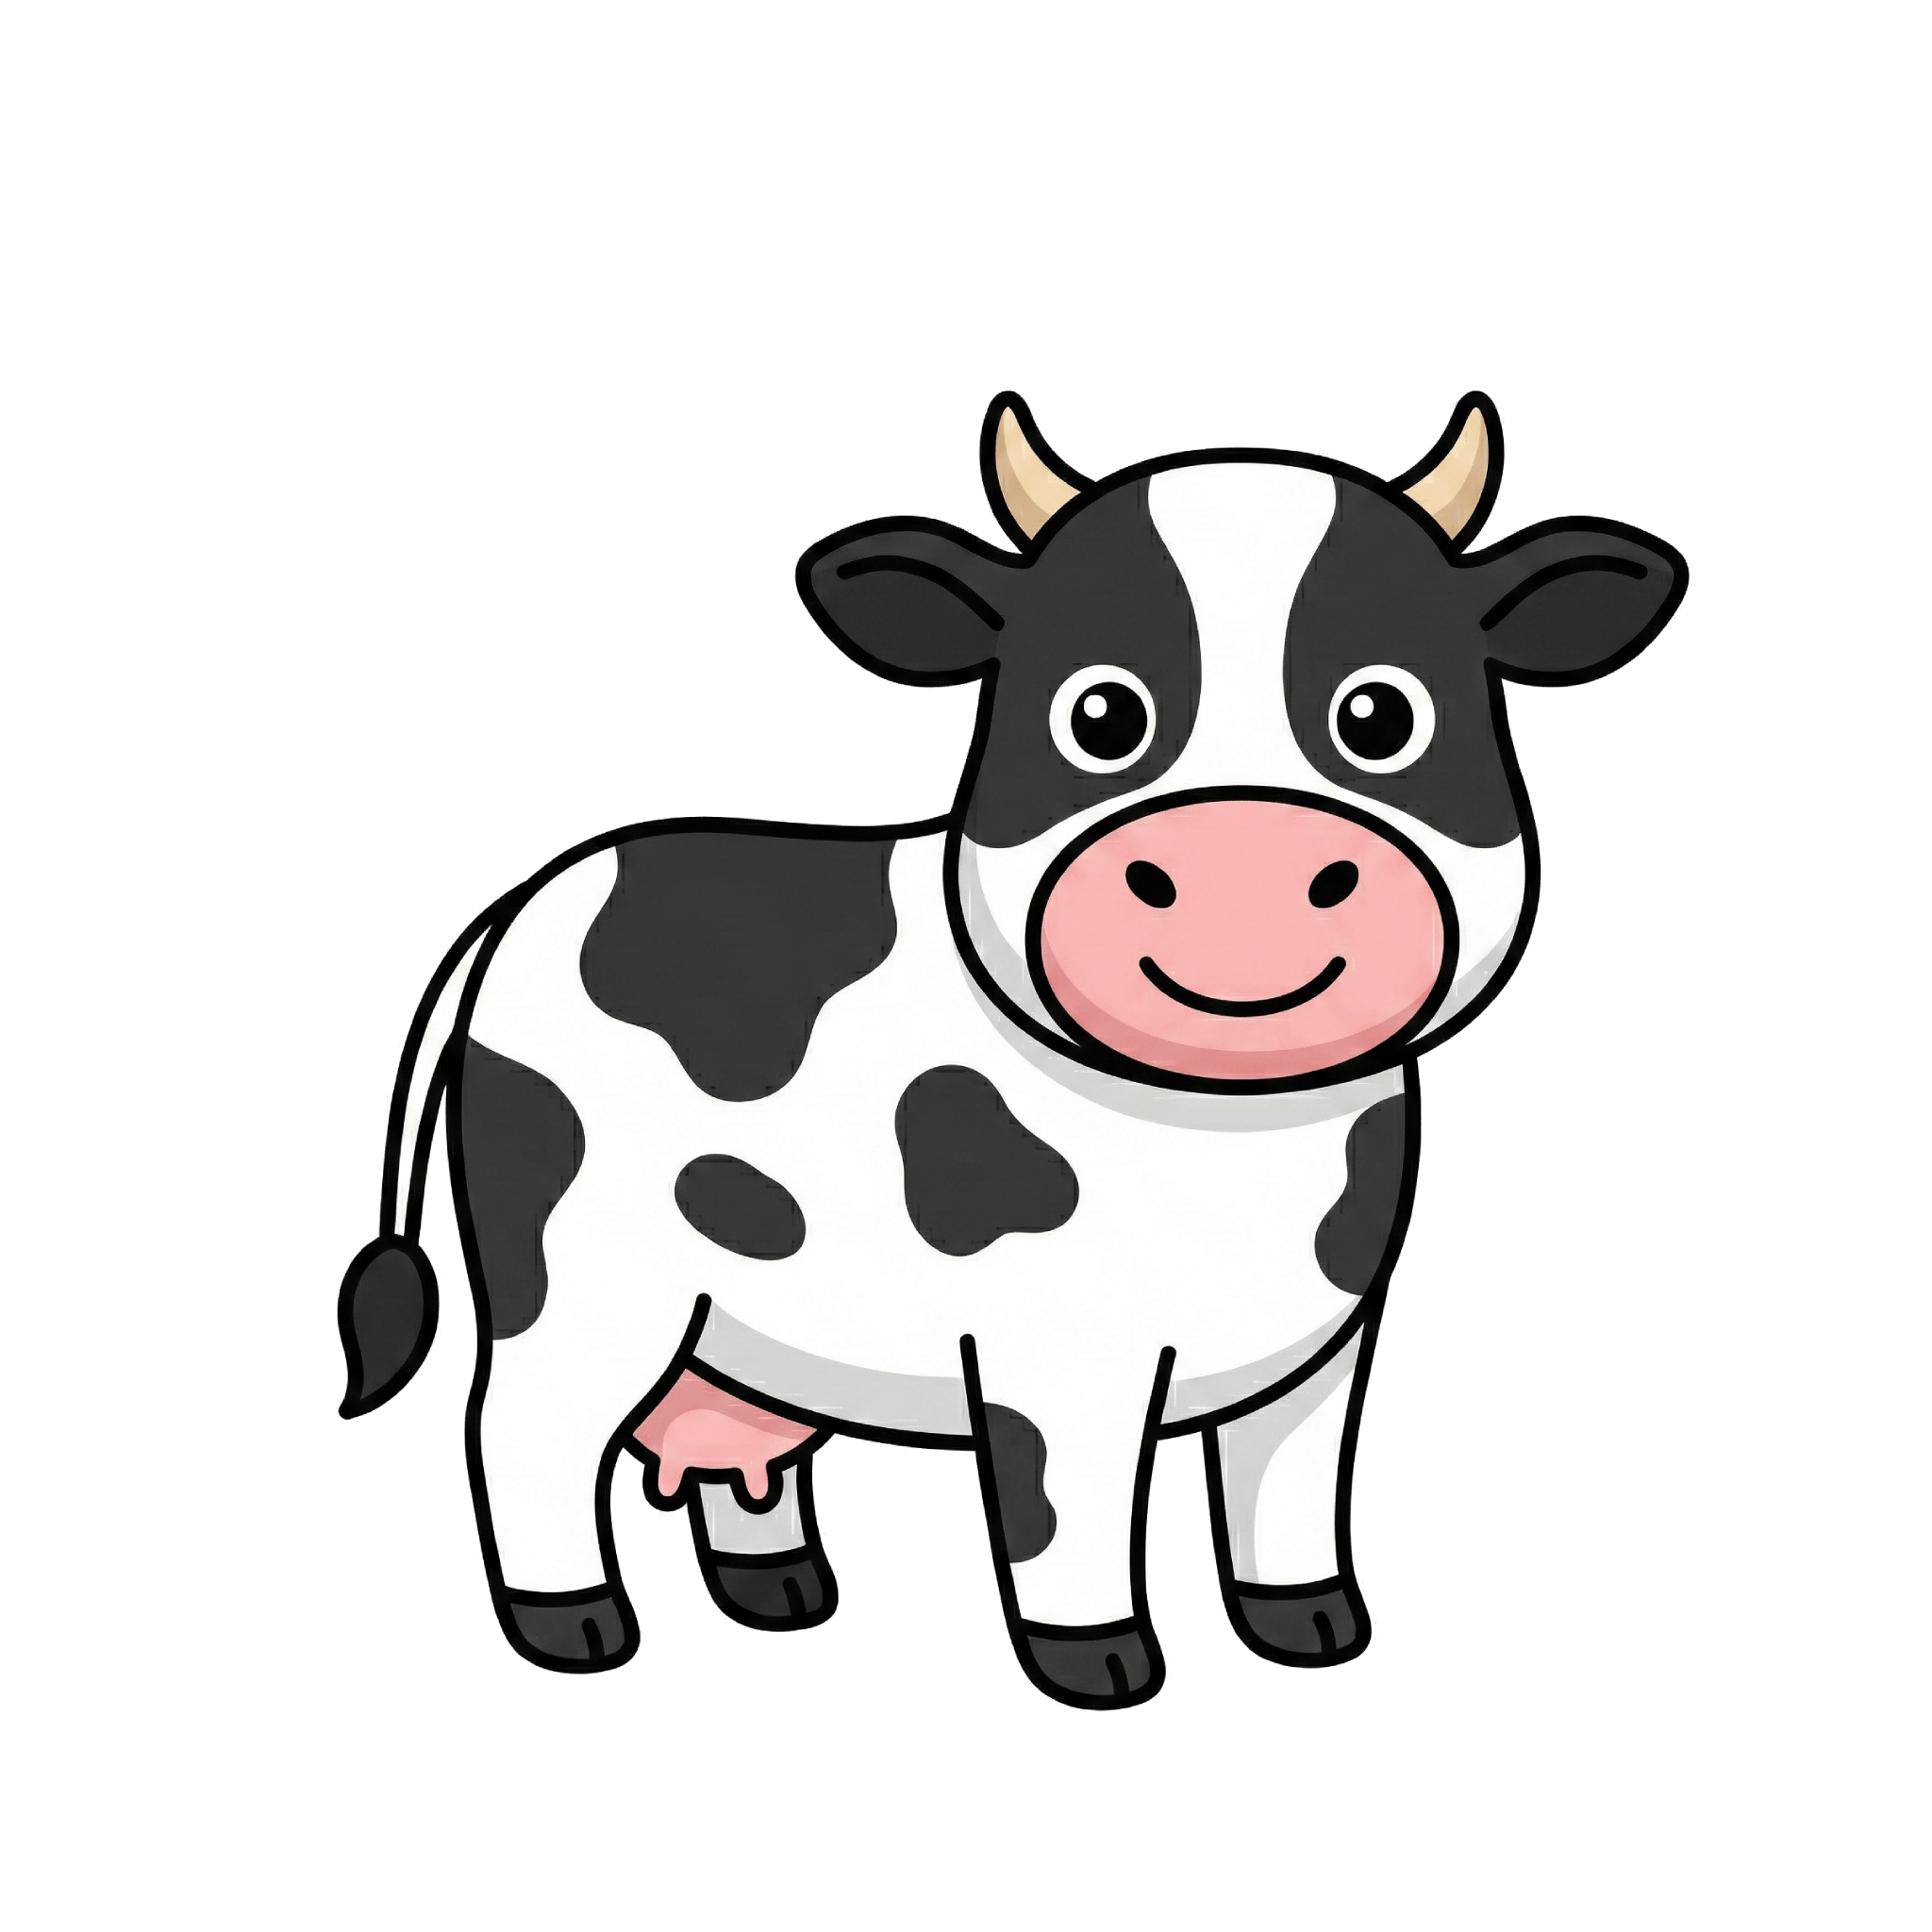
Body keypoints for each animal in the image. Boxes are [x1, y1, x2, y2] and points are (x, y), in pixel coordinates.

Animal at [336, 391, 1685, 1707]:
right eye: (1099, 714)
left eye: (1379, 713)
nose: (1241, 859)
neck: (1221, 1146)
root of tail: (515, 908)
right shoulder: (1053, 1340)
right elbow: (1061, 1501)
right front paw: (1107, 1671)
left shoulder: (1331, 1339)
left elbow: (1285, 1491)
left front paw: (1316, 1635)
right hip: (573, 1262)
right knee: (523, 1421)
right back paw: (581, 1634)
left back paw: (787, 1599)